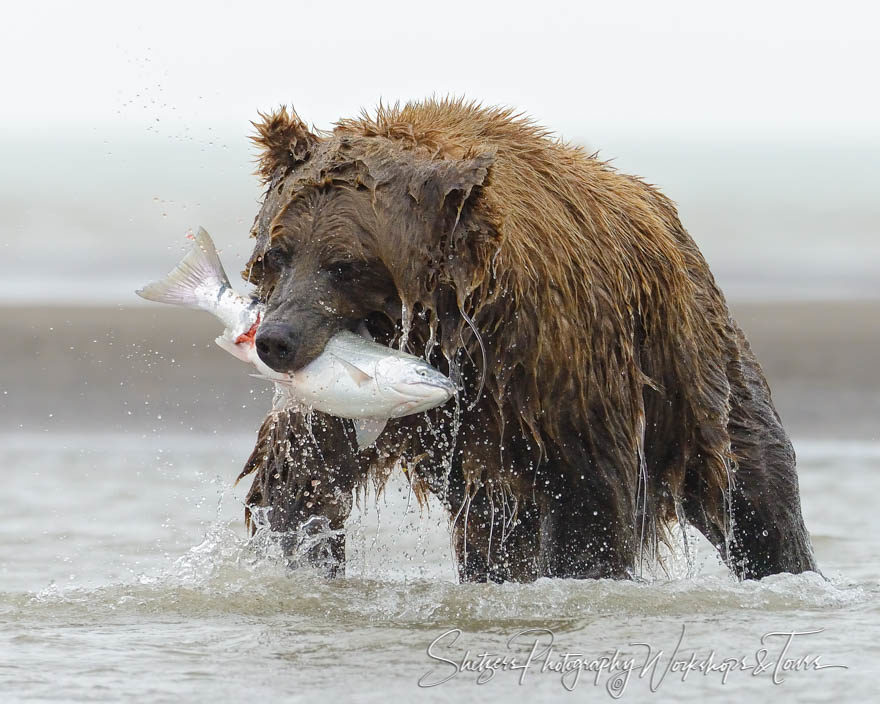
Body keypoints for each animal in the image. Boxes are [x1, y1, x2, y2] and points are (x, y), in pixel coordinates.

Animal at [235, 99, 820, 584]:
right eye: (278, 252)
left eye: (344, 265)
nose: (276, 340)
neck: (449, 327)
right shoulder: (352, 384)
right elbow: (303, 471)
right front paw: (307, 560)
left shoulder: (558, 367)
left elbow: (590, 502)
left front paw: (582, 574)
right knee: (493, 528)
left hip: (692, 373)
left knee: (755, 486)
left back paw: (792, 569)